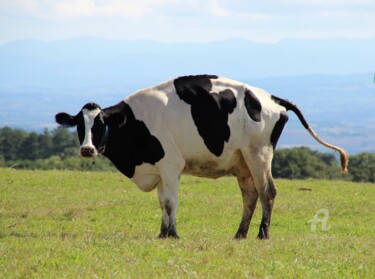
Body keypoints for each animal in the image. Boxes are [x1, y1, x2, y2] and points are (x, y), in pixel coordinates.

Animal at [55, 75, 350, 241]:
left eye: (100, 124)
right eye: (80, 125)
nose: (87, 149)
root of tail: (268, 97)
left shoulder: (171, 165)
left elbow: (171, 202)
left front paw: (172, 235)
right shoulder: (159, 169)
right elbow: (162, 203)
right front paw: (162, 232)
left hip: (259, 154)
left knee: (268, 192)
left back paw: (262, 234)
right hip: (243, 162)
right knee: (250, 196)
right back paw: (240, 234)